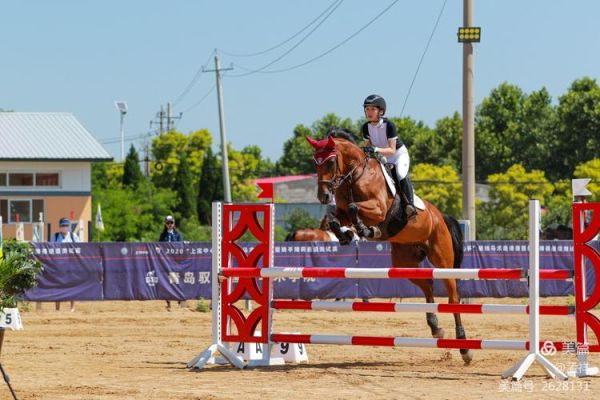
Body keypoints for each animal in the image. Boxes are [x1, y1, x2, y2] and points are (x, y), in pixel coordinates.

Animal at [308, 132, 472, 366]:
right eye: (315, 162)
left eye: (330, 162)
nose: (322, 196)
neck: (354, 176)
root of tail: (441, 216)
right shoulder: (341, 211)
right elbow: (334, 216)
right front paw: (346, 235)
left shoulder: (378, 209)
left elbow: (354, 208)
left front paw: (365, 230)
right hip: (405, 262)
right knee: (428, 285)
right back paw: (435, 327)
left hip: (442, 260)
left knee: (453, 298)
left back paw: (464, 348)